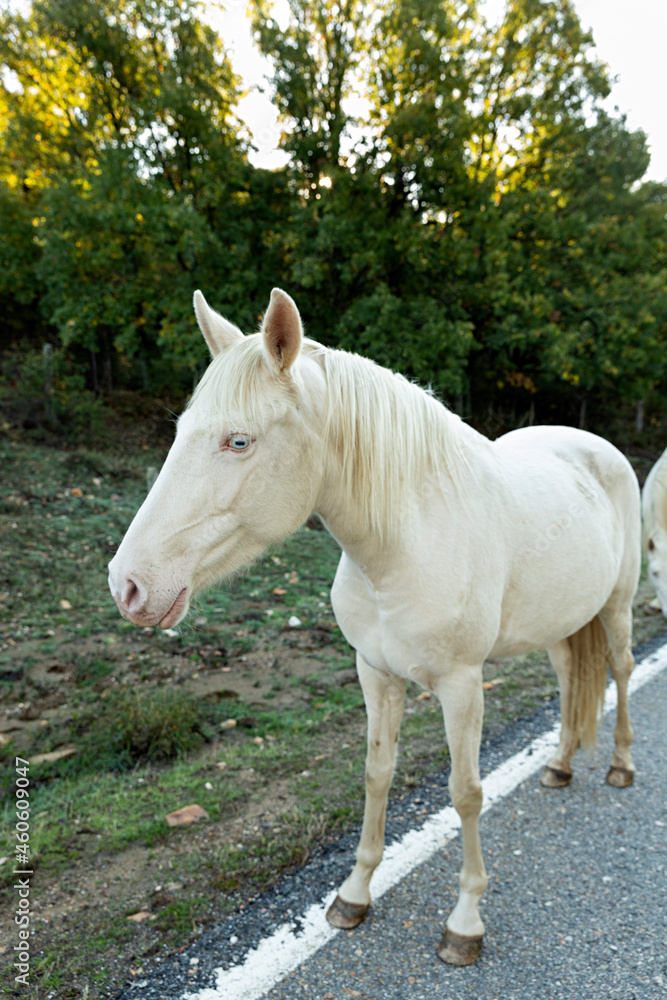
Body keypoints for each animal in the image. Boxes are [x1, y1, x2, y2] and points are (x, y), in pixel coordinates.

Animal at [108, 287, 641, 966]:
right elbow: (375, 774)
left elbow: (466, 791)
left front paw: (465, 923)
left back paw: (620, 767)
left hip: (618, 605)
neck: (402, 545)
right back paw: (560, 766)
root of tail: (597, 446)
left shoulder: (462, 686)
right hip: (558, 624)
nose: (128, 586)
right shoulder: (376, 673)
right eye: (180, 432)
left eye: (239, 441)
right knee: (573, 676)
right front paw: (354, 896)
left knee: (619, 670)